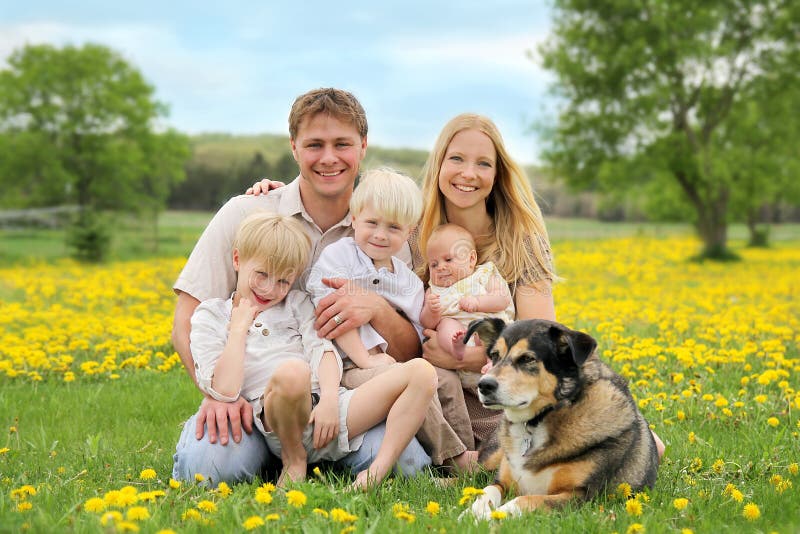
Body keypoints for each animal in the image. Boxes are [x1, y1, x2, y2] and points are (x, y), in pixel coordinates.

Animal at [462, 320, 656, 520]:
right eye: (494, 355)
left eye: (527, 358)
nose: (484, 385)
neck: (536, 423)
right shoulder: (501, 481)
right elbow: (485, 491)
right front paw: (471, 514)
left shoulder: (581, 497)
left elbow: (524, 500)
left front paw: (493, 517)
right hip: (491, 458)